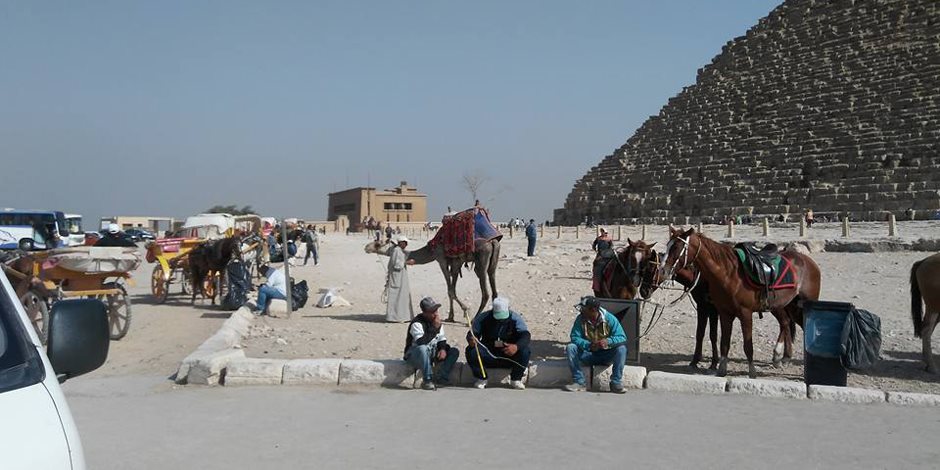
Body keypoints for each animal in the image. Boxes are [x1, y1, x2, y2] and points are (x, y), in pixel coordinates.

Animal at [366, 237, 504, 322]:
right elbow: (451, 290)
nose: (366, 247)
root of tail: (493, 242)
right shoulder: (455, 263)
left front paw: (466, 310)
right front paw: (450, 317)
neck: (431, 250)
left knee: (485, 293)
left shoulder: (441, 259)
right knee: (494, 289)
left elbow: (450, 291)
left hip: (481, 261)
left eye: (378, 243)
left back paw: (474, 319)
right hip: (493, 263)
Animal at [656, 228, 820, 378]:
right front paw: (721, 369)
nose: (663, 270)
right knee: (786, 323)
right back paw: (781, 357)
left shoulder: (743, 313)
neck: (728, 274)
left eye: (676, 247)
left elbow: (747, 345)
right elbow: (722, 341)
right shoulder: (723, 313)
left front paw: (751, 372)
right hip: (786, 305)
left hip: (803, 305)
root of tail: (808, 261)